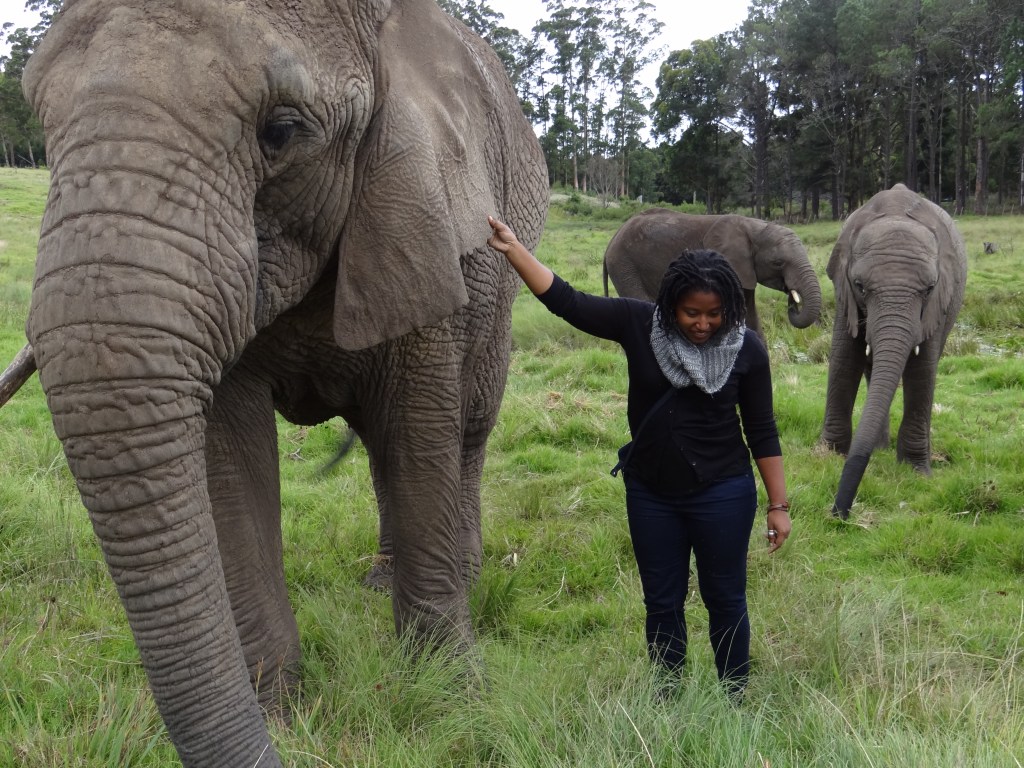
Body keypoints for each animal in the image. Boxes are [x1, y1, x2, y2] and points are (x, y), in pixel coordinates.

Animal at [18, 0, 547, 765]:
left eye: (282, 131)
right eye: (40, 119)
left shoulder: (426, 216)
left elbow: (421, 436)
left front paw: (453, 697)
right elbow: (232, 465)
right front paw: (280, 714)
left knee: (464, 429)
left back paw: (461, 572)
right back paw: (378, 579)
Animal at [820, 184, 966, 519]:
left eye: (929, 289)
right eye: (860, 286)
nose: (839, 514)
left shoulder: (938, 304)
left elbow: (923, 371)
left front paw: (917, 473)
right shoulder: (844, 294)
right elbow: (845, 360)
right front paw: (827, 456)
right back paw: (878, 448)